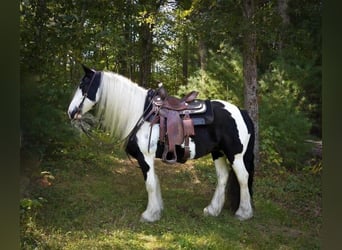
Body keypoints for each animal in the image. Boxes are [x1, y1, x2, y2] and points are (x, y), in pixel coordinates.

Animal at [67, 65, 254, 223]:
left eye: (83, 85)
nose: (71, 112)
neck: (141, 113)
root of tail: (241, 111)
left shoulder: (145, 157)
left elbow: (150, 184)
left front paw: (149, 215)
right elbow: (155, 182)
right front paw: (157, 210)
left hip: (235, 154)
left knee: (243, 177)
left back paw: (243, 213)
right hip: (218, 152)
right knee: (223, 177)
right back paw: (212, 210)